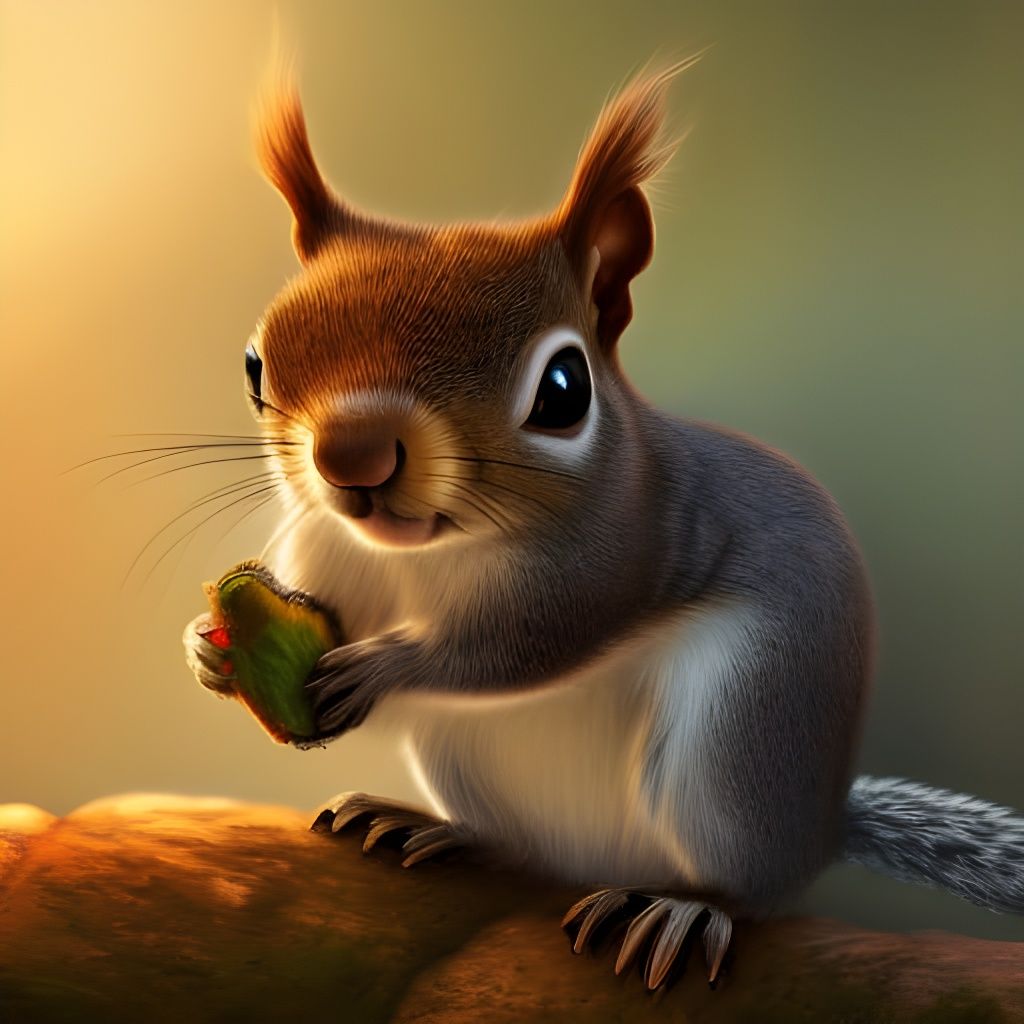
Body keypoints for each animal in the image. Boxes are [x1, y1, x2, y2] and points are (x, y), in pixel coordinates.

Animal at [184, 60, 1024, 989]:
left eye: (563, 389)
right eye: (256, 367)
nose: (353, 460)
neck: (427, 555)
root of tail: (821, 826)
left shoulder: (629, 545)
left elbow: (527, 640)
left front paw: (390, 663)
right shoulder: (326, 552)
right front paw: (208, 650)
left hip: (737, 741)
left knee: (749, 887)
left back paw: (684, 909)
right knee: (516, 845)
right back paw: (428, 826)